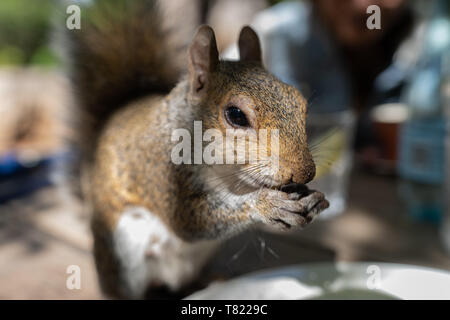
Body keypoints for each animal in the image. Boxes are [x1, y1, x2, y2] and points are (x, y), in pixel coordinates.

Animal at [68, 0, 330, 300]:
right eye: (236, 115)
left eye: (300, 102)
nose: (305, 172)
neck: (226, 174)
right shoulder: (161, 172)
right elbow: (189, 222)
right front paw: (265, 205)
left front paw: (311, 198)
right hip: (123, 253)